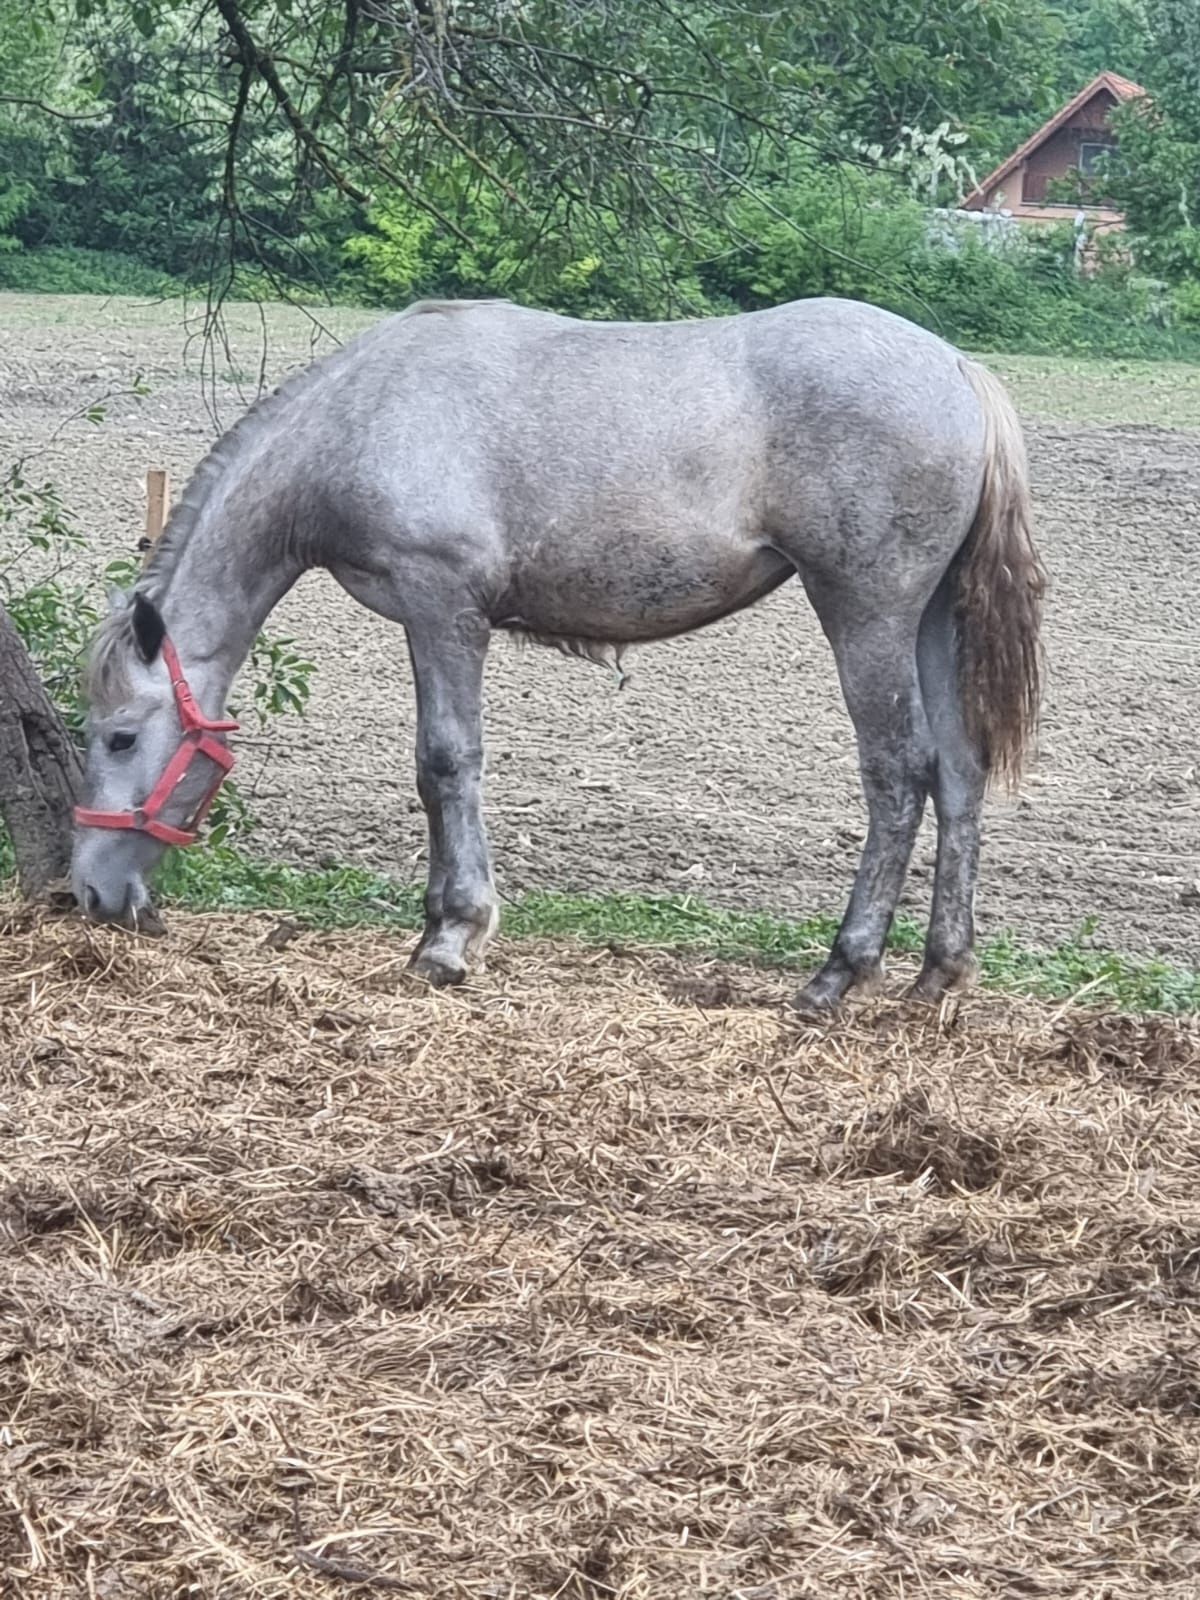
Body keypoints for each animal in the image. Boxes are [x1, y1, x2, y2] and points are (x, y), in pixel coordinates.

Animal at [70, 294, 1043, 1004]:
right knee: (958, 774)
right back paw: (937, 974)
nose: (88, 894)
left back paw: (840, 972)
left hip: (866, 614)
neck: (366, 415)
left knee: (899, 773)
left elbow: (446, 762)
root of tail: (958, 370)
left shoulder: (443, 609)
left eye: (120, 737)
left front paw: (451, 936)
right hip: (932, 620)